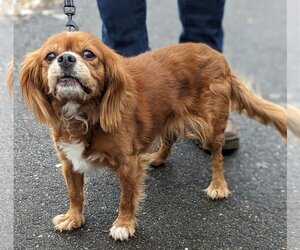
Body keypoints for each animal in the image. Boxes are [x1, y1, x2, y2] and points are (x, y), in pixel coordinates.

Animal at [19, 30, 298, 240]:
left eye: (88, 54)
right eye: (50, 56)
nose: (65, 59)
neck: (84, 113)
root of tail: (218, 55)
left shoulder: (128, 164)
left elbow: (126, 198)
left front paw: (123, 225)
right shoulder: (69, 161)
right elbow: (75, 194)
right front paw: (74, 218)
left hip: (210, 126)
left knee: (217, 156)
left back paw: (218, 185)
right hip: (168, 115)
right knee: (170, 137)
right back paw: (158, 157)